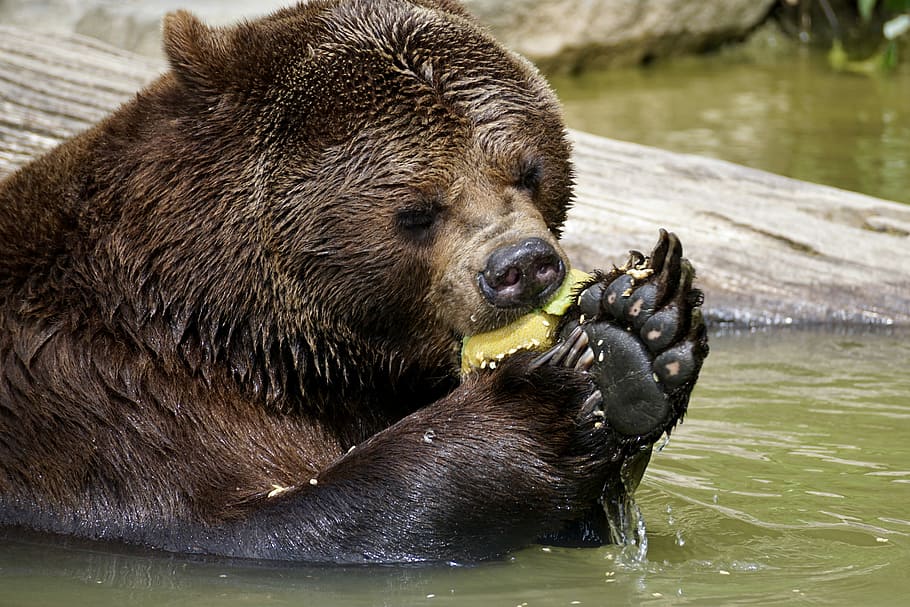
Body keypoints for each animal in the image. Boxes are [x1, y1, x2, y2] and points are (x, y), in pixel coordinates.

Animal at [0, 0, 707, 563]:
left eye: (529, 169)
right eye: (418, 209)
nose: (523, 265)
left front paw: (643, 327)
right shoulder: (98, 403)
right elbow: (263, 523)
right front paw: (543, 399)